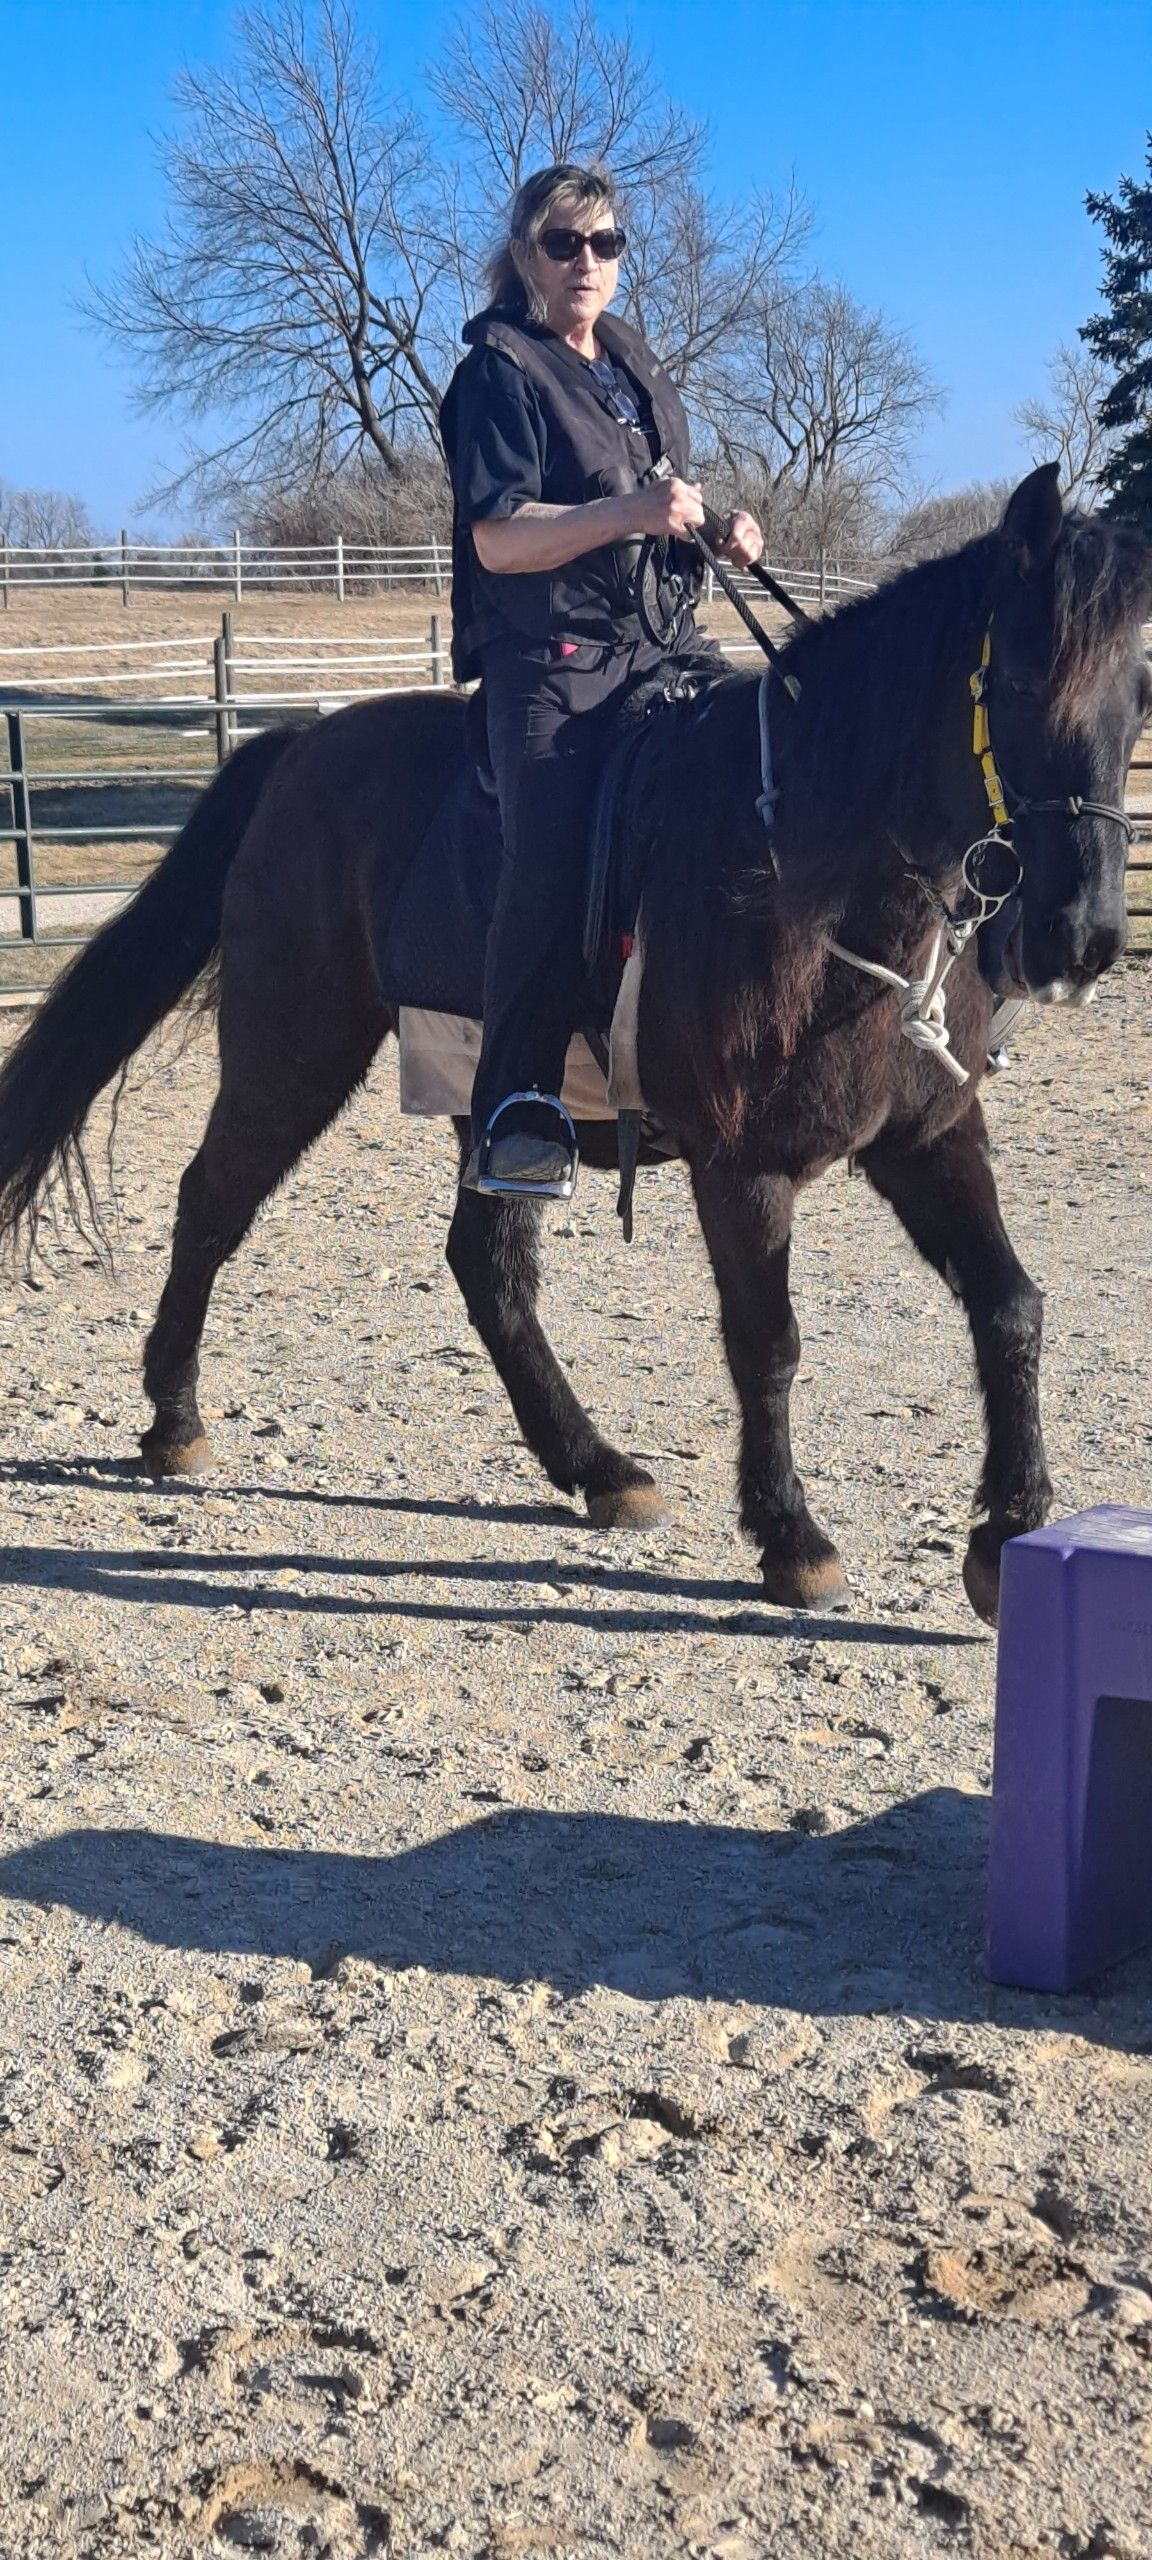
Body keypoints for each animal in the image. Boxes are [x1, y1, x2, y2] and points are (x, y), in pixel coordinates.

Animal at [0, 463, 1147, 1626]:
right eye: (1014, 678)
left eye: (1138, 694)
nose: (1082, 936)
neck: (802, 863)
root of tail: (296, 751)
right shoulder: (742, 1164)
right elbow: (768, 1342)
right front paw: (792, 1537)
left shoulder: (926, 1133)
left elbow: (1011, 1305)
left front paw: (1006, 1534)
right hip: (295, 1051)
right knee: (213, 1204)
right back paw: (174, 1421)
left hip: (497, 1104)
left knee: (485, 1265)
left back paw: (595, 1466)